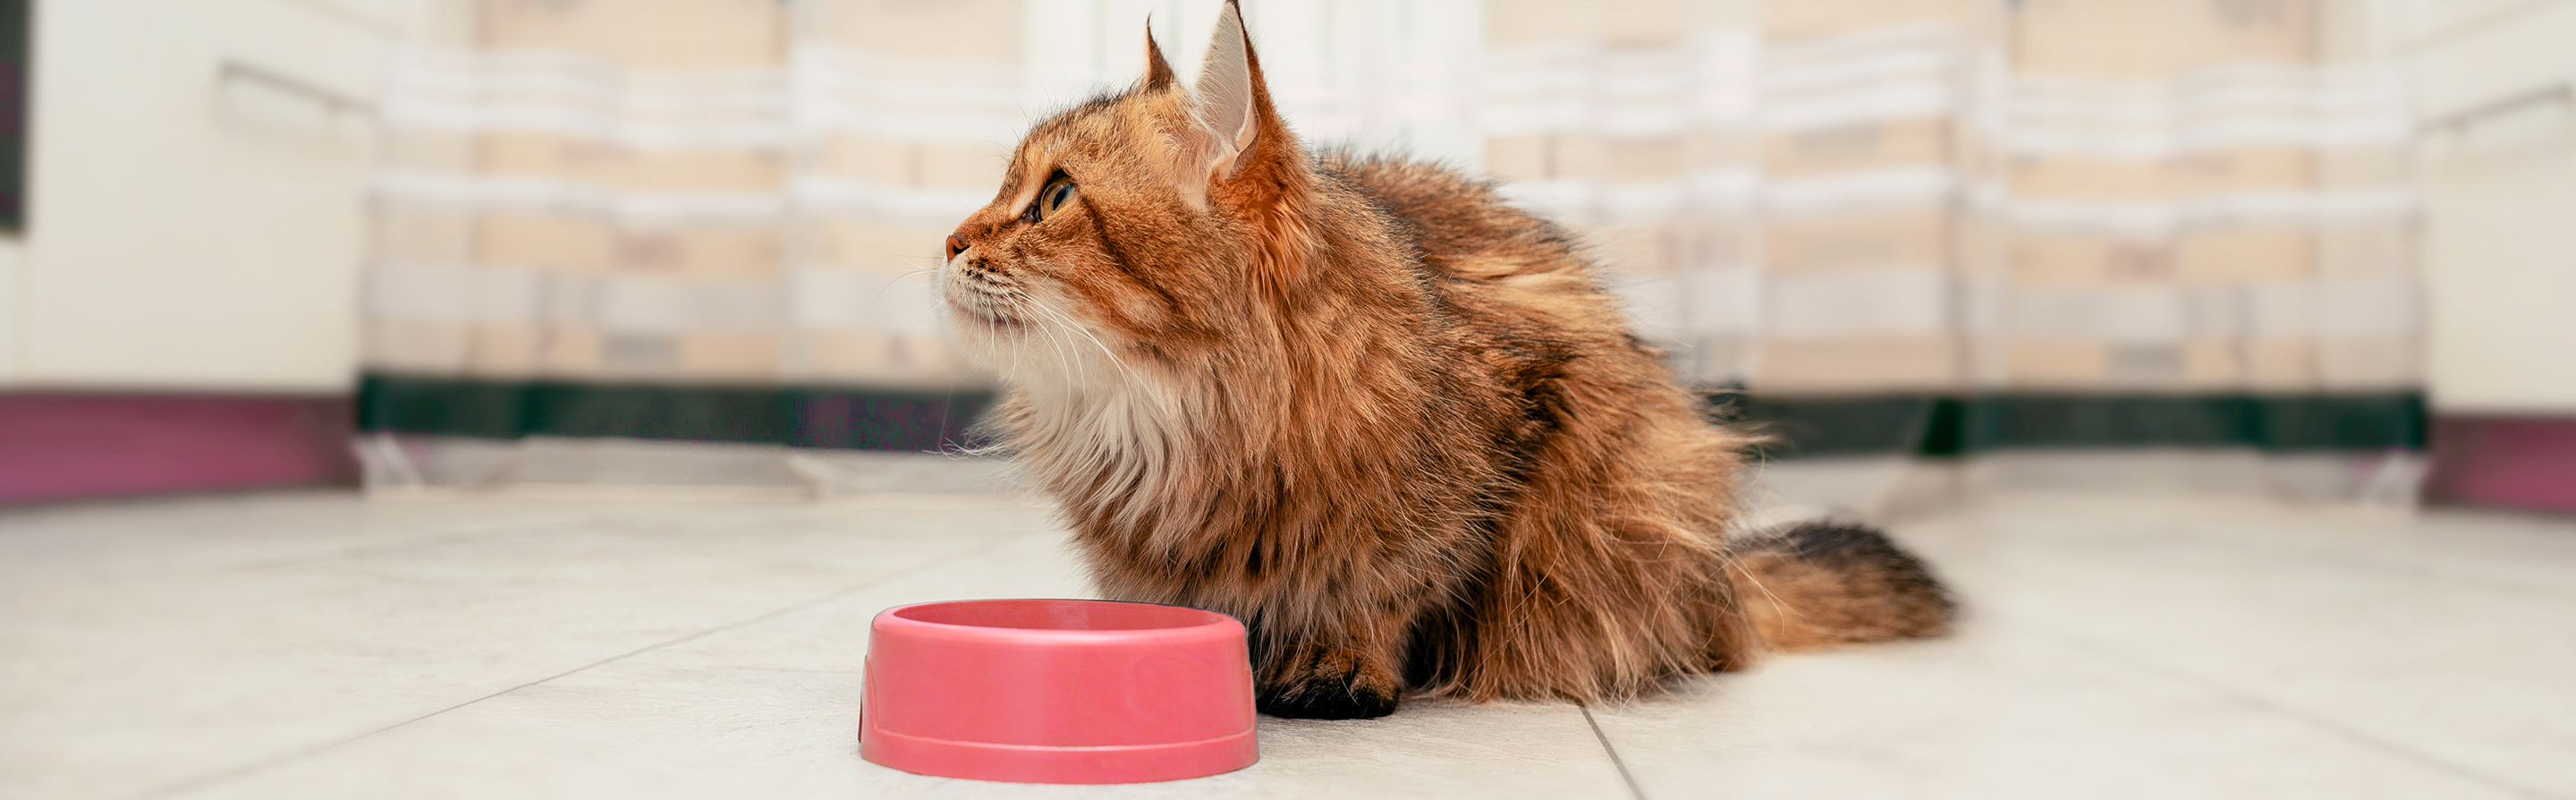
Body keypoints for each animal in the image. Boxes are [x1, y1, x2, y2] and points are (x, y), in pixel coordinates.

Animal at [932, 0, 1947, 722]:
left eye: (1055, 197)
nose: (948, 240)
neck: (1170, 412)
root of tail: (1725, 588)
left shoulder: (1511, 433)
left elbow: (1397, 584)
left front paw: (1342, 665)